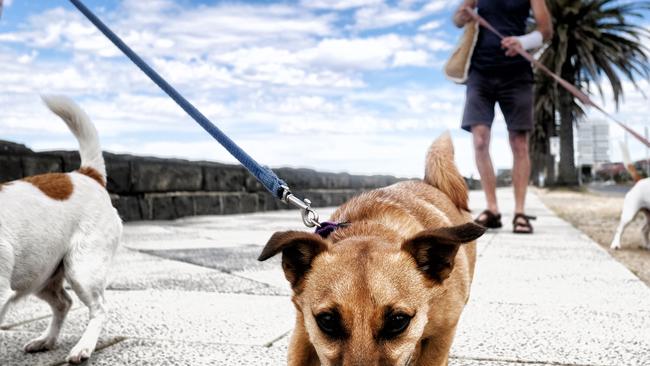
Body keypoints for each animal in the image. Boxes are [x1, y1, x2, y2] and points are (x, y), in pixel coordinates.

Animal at [0, 96, 121, 364]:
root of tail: (85, 174)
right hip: (39, 274)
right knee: (63, 303)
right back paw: (46, 340)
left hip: (82, 269)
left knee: (99, 308)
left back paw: (83, 347)